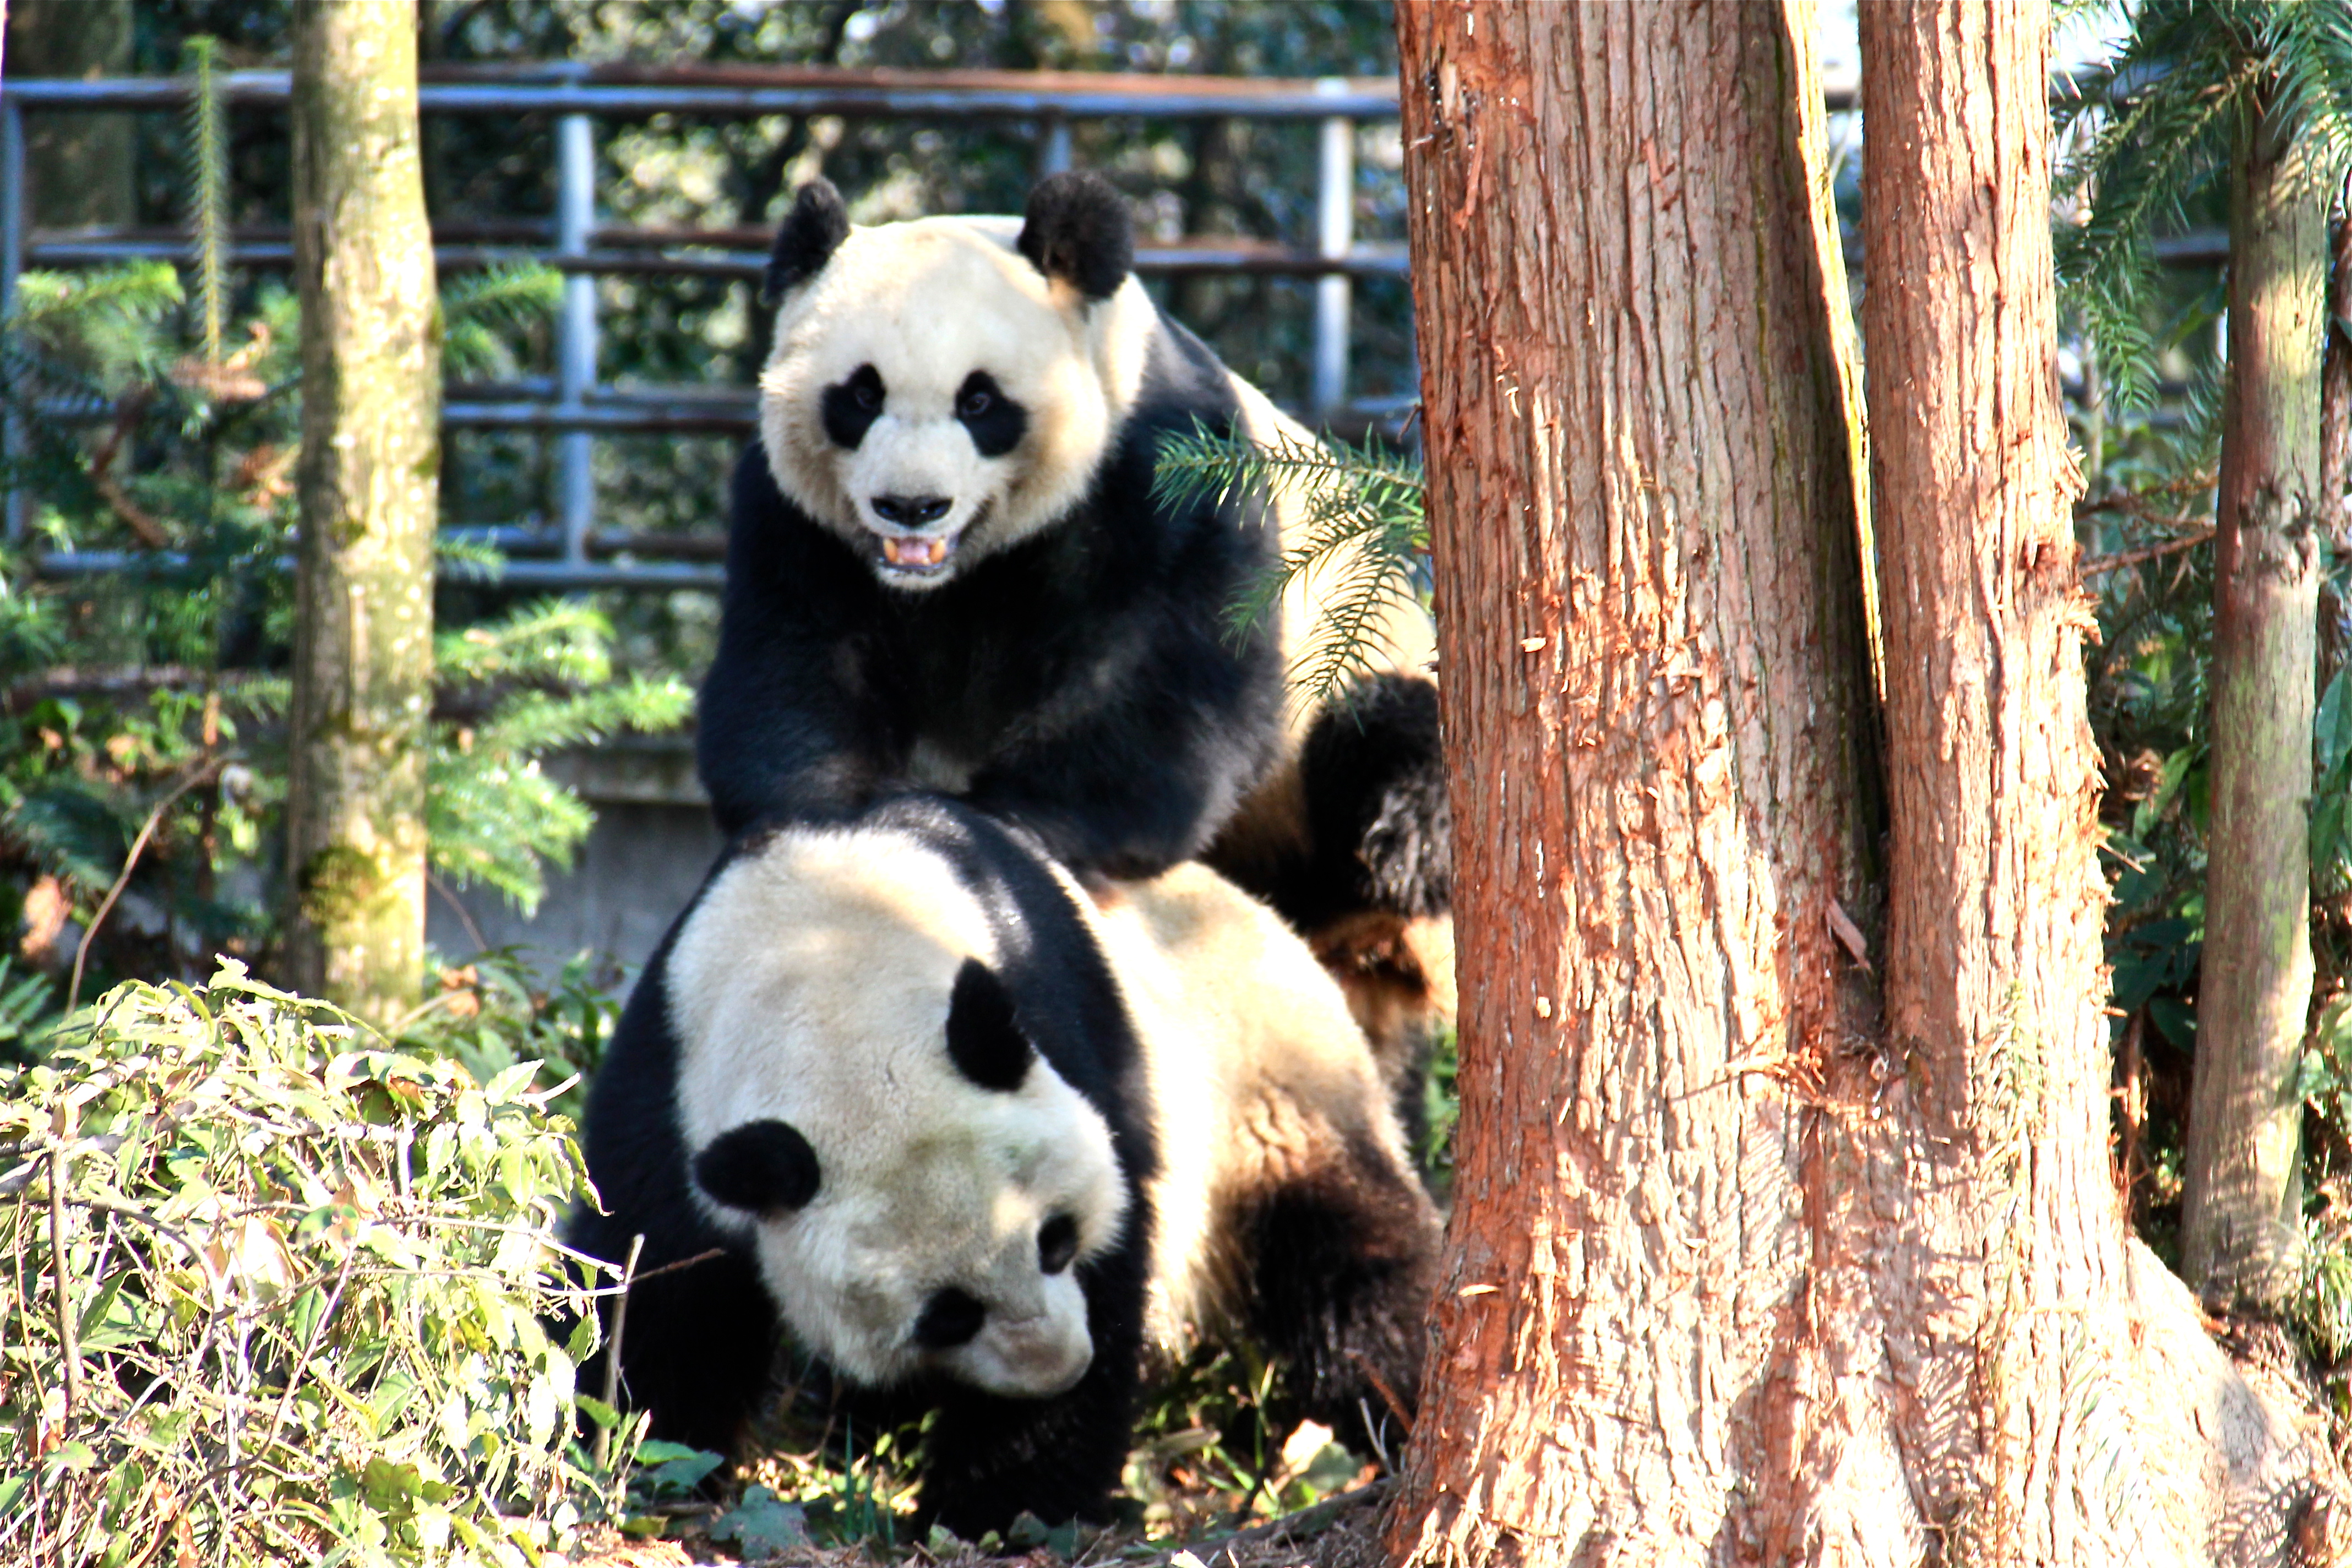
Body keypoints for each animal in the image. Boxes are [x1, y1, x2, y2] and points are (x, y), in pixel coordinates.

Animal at [574, 804, 1449, 1542]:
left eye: (1056, 1239)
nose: (1057, 1368)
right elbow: (653, 1292)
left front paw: (998, 1509)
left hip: (1266, 1091)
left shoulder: (1067, 1030)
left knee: (1350, 1267)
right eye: (946, 1314)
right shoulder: (671, 1084)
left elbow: (1120, 1252)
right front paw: (649, 1459)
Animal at [687, 171, 1439, 1072]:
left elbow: (1162, 688)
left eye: (980, 400)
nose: (910, 506)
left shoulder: (1164, 479)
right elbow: (793, 670)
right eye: (861, 394)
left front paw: (1010, 825)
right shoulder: (798, 520)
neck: (955, 573)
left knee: (1393, 754)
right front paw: (837, 828)